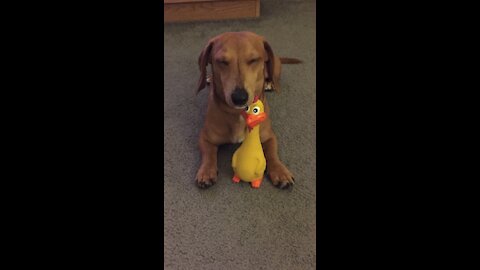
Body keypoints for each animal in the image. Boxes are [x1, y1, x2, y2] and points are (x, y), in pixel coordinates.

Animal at [194, 31, 300, 190]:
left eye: (254, 60)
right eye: (222, 61)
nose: (239, 97)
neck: (239, 113)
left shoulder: (269, 136)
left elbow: (272, 153)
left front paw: (280, 171)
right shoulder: (205, 137)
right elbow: (208, 153)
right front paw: (206, 170)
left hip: (274, 68)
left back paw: (269, 83)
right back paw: (208, 77)